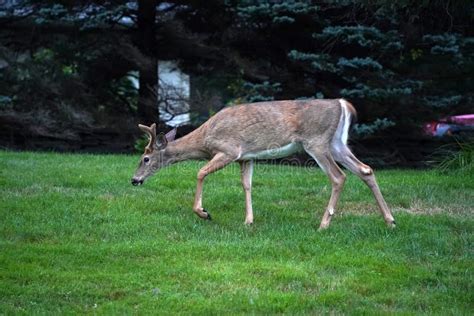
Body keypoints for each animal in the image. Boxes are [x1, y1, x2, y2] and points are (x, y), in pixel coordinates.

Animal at [131, 99, 396, 230]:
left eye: (145, 158)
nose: (134, 179)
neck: (205, 140)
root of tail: (343, 104)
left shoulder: (229, 150)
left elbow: (200, 172)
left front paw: (203, 212)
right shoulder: (246, 157)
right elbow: (246, 185)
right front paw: (248, 221)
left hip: (317, 141)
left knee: (338, 176)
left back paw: (323, 225)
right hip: (336, 143)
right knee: (365, 169)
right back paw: (390, 221)